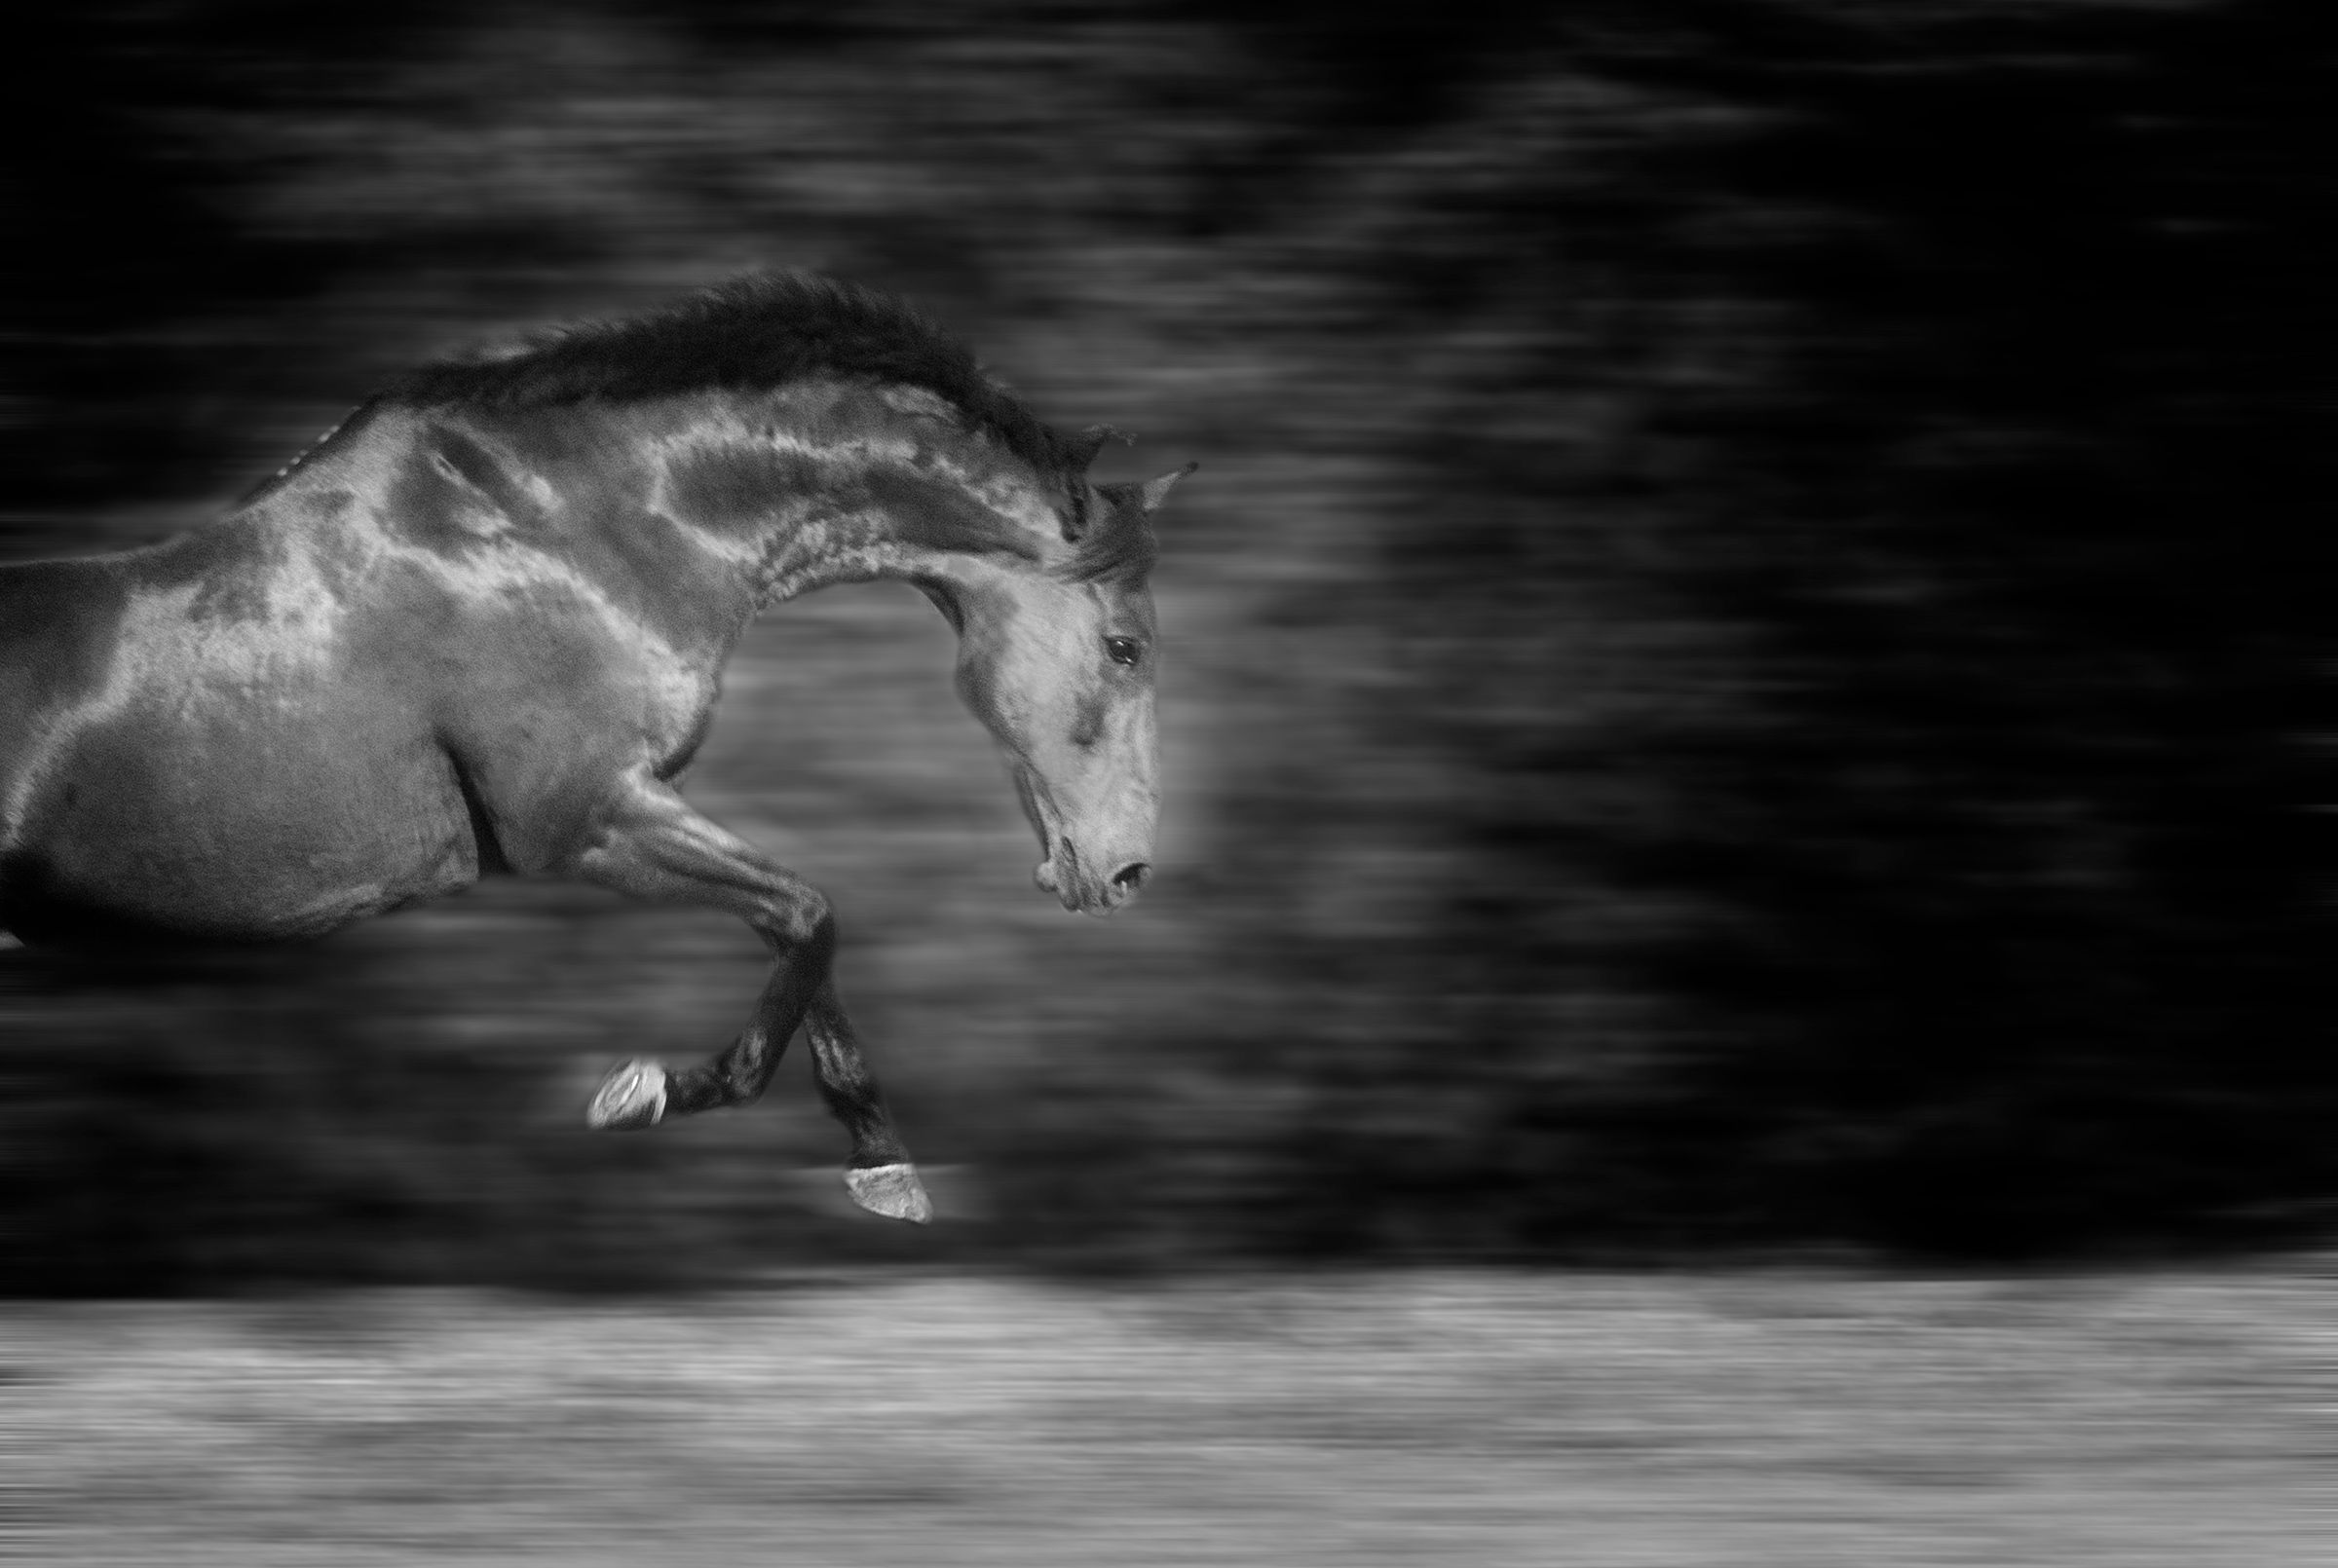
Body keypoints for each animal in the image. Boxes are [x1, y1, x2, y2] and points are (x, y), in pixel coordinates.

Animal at [0, 272, 1191, 1225]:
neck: (575, 530)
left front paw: (879, 1165)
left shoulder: (631, 805)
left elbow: (799, 929)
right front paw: (645, 1093)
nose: (1125, 870)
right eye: (1125, 647)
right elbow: (810, 915)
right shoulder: (579, 819)